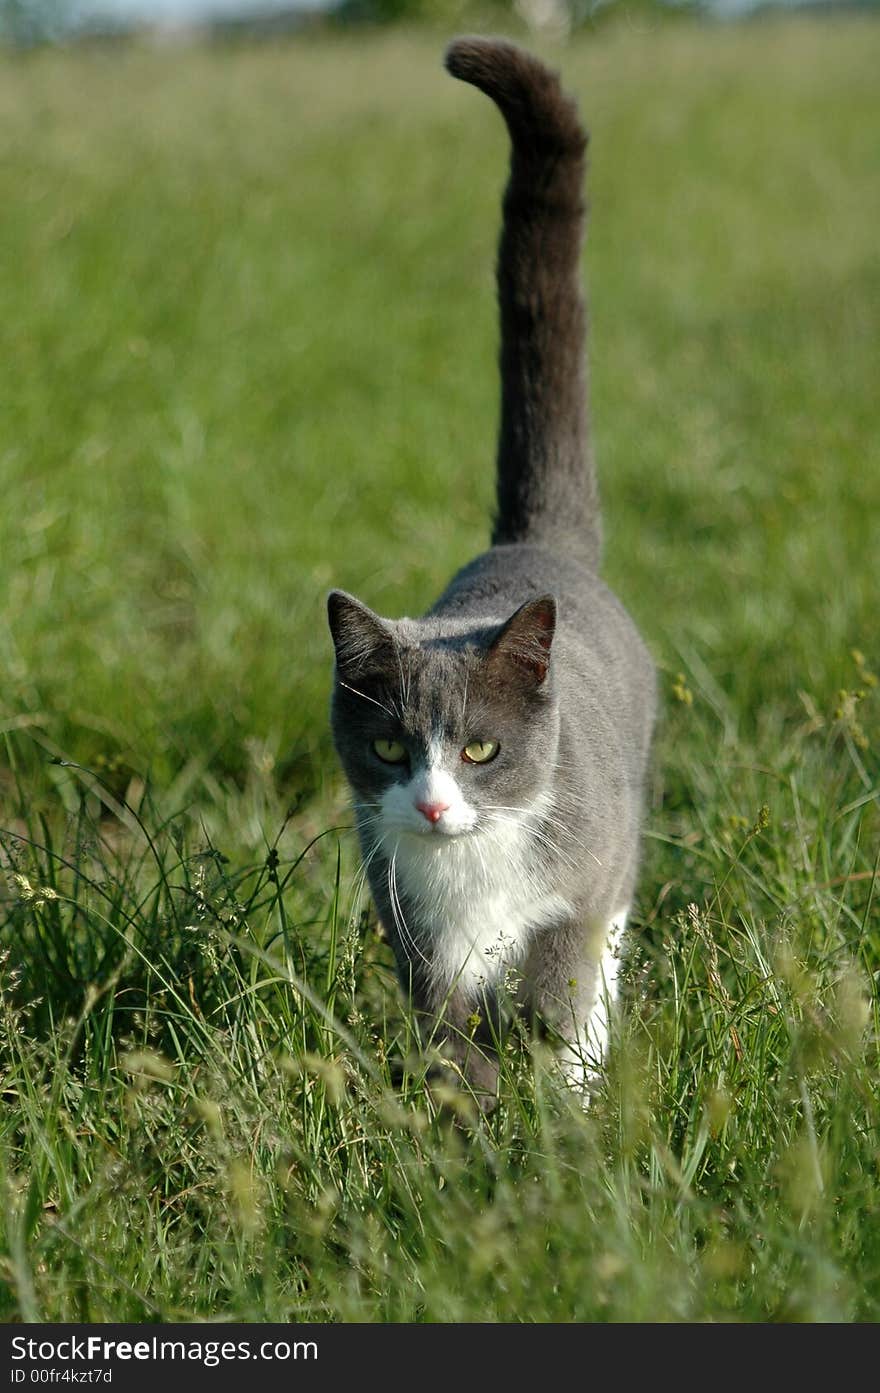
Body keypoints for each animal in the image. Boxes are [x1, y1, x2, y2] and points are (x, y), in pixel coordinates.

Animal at [328, 35, 654, 1108]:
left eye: (479, 749)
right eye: (391, 747)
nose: (433, 803)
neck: (472, 868)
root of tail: (531, 543)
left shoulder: (581, 876)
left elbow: (563, 985)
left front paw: (564, 1098)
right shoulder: (409, 920)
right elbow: (444, 1030)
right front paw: (465, 1107)